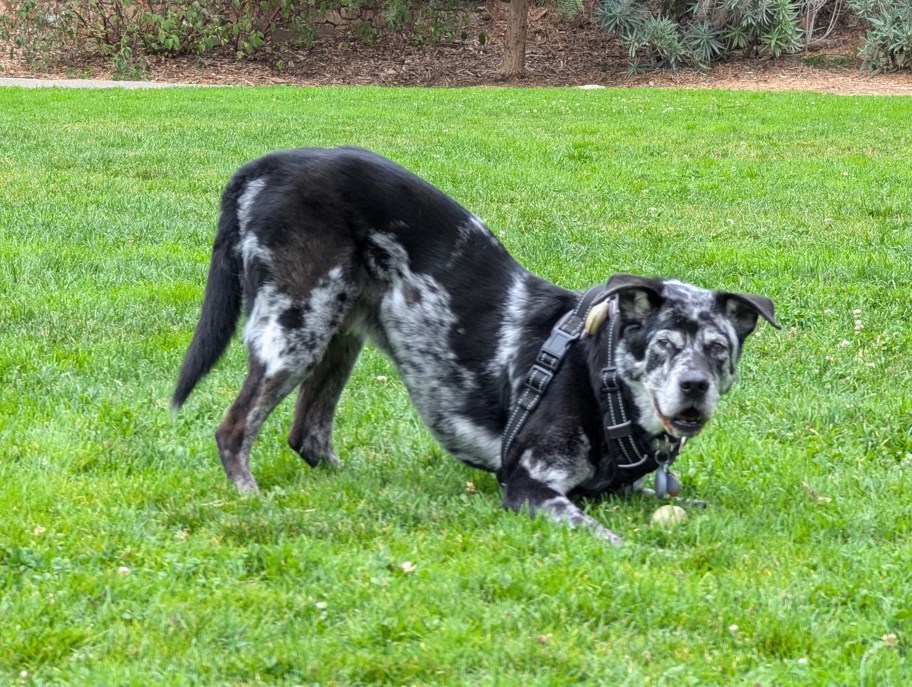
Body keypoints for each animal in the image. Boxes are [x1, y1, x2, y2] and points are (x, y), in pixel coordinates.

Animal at [175, 148, 780, 544]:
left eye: (718, 348)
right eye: (663, 345)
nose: (694, 385)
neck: (599, 379)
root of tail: (268, 165)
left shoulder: (620, 489)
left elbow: (689, 496)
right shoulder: (531, 485)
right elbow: (598, 531)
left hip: (339, 333)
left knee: (309, 435)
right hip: (297, 329)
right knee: (234, 429)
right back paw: (250, 499)